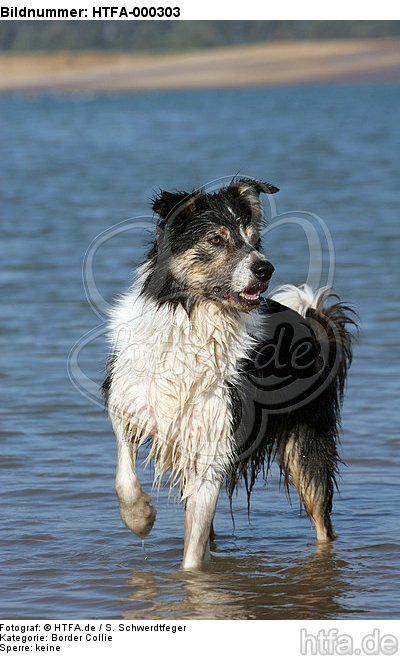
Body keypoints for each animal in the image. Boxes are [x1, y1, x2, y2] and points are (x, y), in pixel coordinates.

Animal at [103, 178, 356, 568]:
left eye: (253, 239)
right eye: (216, 239)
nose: (266, 269)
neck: (195, 319)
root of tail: (315, 324)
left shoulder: (215, 439)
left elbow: (192, 558)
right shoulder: (128, 397)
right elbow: (124, 474)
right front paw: (140, 517)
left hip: (306, 445)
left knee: (322, 522)